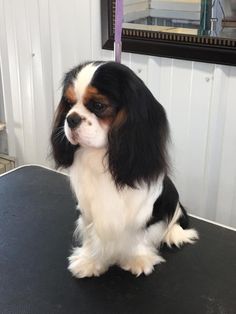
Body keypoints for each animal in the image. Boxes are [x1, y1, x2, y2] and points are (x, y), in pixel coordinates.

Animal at [50, 60, 198, 278]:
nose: (71, 119)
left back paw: (174, 233)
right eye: (68, 104)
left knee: (175, 218)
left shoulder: (143, 213)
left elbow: (140, 235)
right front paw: (90, 261)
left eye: (98, 105)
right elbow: (91, 234)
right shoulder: (89, 211)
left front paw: (138, 259)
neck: (101, 155)